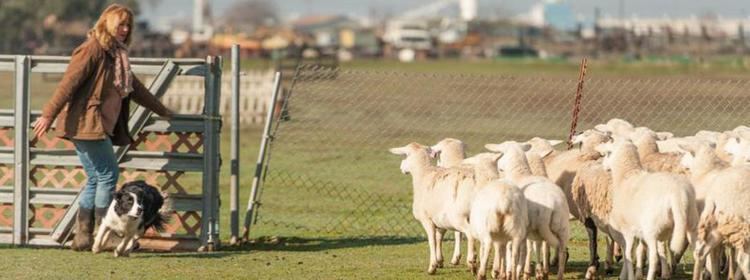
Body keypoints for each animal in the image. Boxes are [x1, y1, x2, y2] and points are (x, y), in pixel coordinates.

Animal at [596, 138, 704, 280]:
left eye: (608, 153)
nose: (604, 167)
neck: (626, 176)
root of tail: (678, 193)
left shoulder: (628, 230)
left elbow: (628, 254)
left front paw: (630, 276)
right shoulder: (646, 232)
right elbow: (647, 251)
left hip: (652, 230)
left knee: (653, 257)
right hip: (691, 223)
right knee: (699, 253)